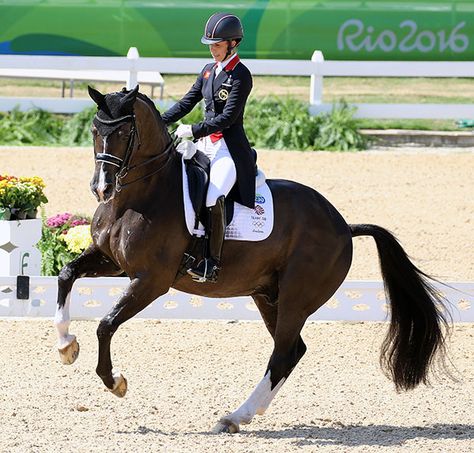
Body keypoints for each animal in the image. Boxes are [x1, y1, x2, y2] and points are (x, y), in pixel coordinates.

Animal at [53, 85, 450, 434]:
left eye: (124, 131)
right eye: (95, 130)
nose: (101, 188)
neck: (139, 196)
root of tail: (342, 226)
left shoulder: (152, 279)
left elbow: (106, 324)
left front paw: (114, 381)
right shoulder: (113, 262)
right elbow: (66, 274)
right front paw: (66, 347)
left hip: (295, 298)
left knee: (283, 353)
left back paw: (233, 416)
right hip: (267, 295)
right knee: (293, 351)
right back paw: (242, 415)